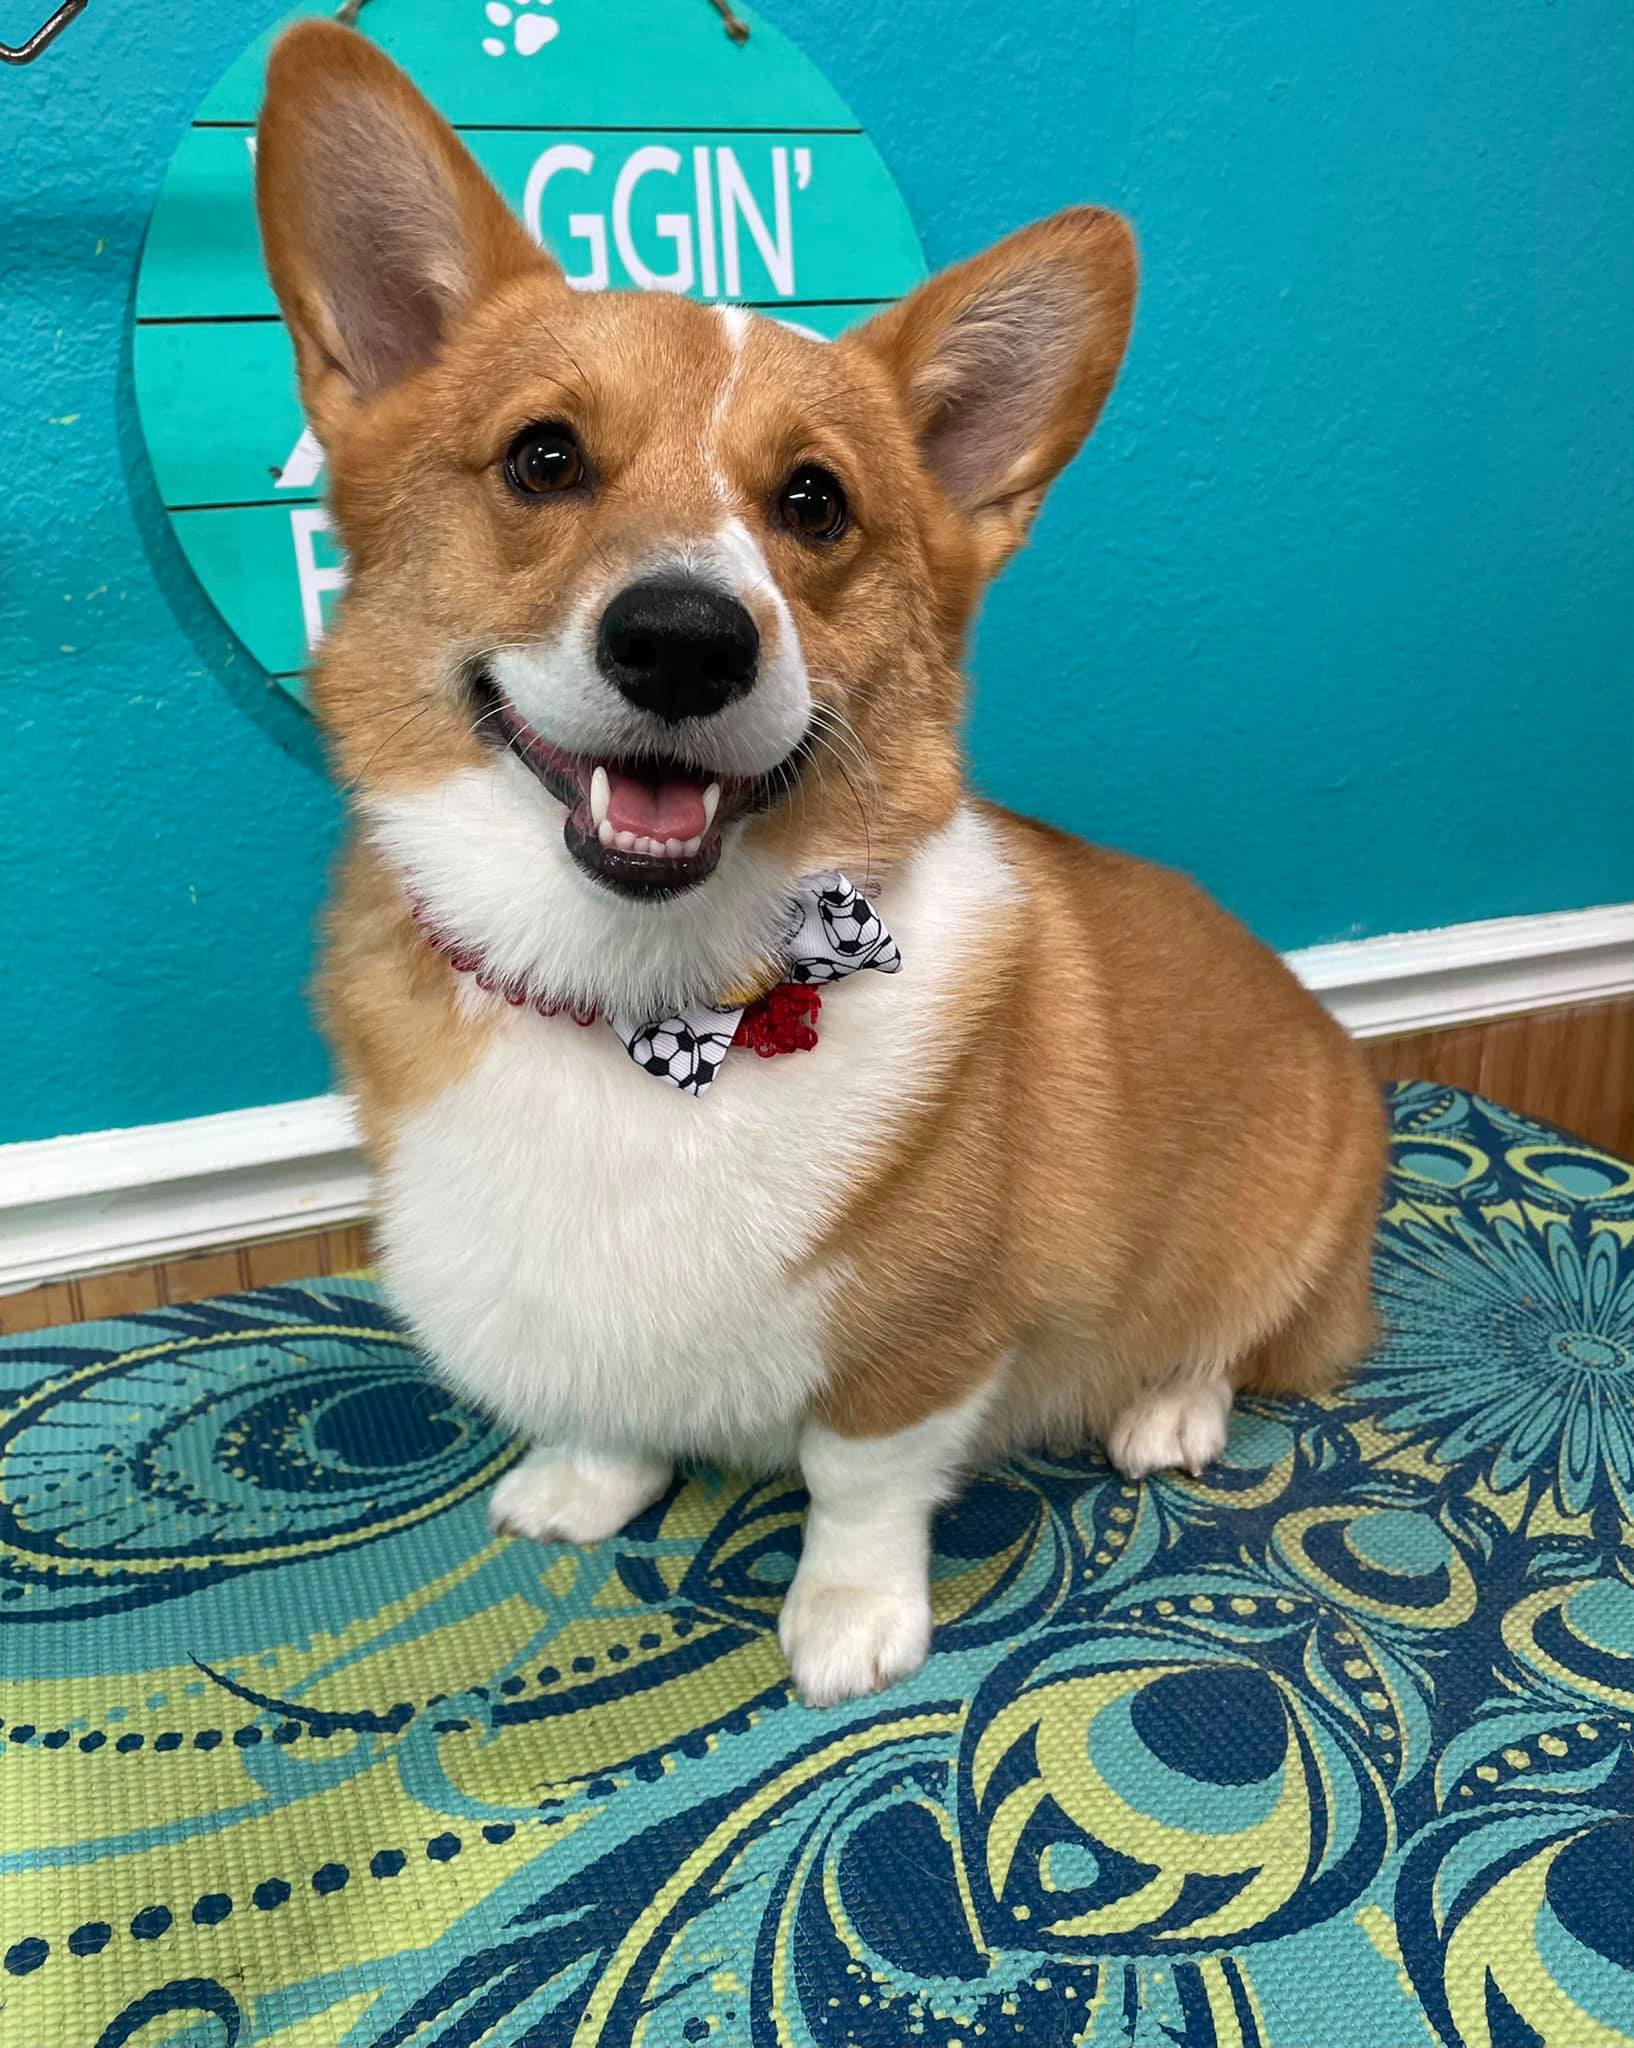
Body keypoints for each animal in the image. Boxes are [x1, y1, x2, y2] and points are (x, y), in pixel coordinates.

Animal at [255, 22, 1386, 1707]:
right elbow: (606, 1411)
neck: (648, 1007)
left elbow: (860, 1480)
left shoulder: (923, 1343)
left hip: (1280, 1220)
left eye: (813, 501)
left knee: (1229, 1343)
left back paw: (1166, 1409)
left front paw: (848, 1621)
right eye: (542, 459)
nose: (682, 640)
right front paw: (586, 1486)